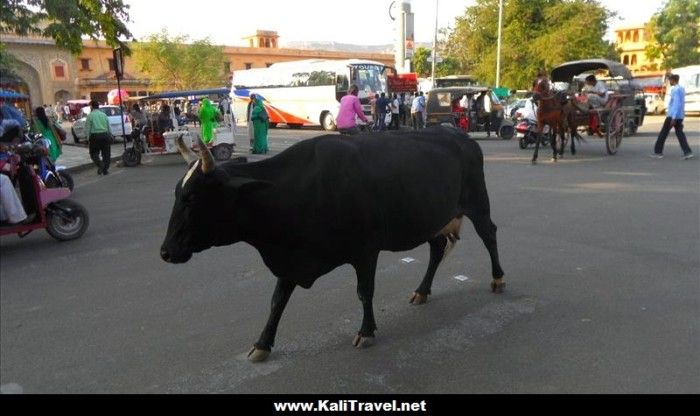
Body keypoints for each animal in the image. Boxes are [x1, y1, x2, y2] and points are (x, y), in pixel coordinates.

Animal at [161, 126, 506, 360]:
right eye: (176, 193)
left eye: (193, 198)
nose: (166, 251)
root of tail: (460, 135)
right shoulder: (290, 258)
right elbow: (277, 301)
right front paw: (262, 343)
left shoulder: (365, 251)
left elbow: (364, 292)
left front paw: (366, 331)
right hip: (433, 217)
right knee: (436, 249)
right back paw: (422, 291)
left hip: (477, 203)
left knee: (489, 234)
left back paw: (498, 279)